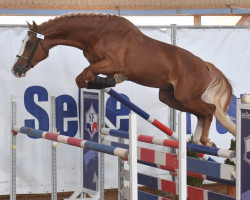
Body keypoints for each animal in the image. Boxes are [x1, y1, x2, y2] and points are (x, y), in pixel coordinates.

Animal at [11, 13, 236, 146]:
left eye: (29, 44)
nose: (16, 69)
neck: (96, 33)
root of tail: (204, 65)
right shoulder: (98, 64)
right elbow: (82, 78)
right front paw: (103, 83)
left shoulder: (113, 63)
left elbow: (85, 75)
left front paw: (108, 82)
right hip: (171, 98)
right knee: (201, 113)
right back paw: (197, 141)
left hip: (185, 96)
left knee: (209, 110)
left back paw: (205, 140)